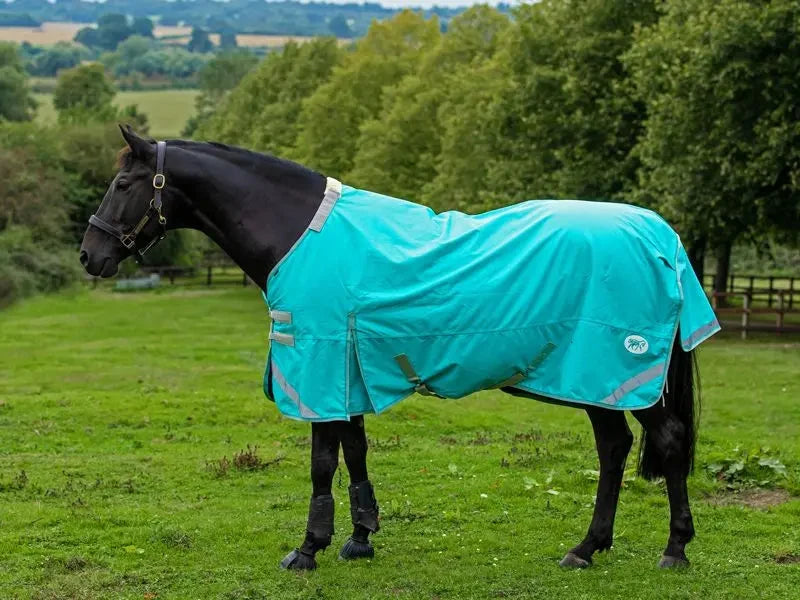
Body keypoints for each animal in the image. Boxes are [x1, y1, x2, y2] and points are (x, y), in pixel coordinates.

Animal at [80, 126, 718, 571]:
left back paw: (674, 549)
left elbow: (322, 461)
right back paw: (588, 547)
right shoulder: (347, 372)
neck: (300, 231)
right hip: (594, 380)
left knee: (665, 440)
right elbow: (355, 453)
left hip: (614, 371)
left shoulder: (319, 366)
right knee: (614, 449)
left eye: (122, 185)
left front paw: (307, 550)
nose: (90, 255)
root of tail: (661, 236)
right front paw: (360, 538)